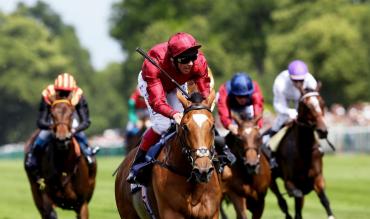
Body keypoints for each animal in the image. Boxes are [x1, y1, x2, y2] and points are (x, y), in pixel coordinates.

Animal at [268, 87, 336, 219]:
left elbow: (324, 200)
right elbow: (297, 197)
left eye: (322, 103)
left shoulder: (317, 178)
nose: (323, 131)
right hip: (270, 180)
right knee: (282, 201)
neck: (303, 151)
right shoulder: (290, 182)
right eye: (307, 106)